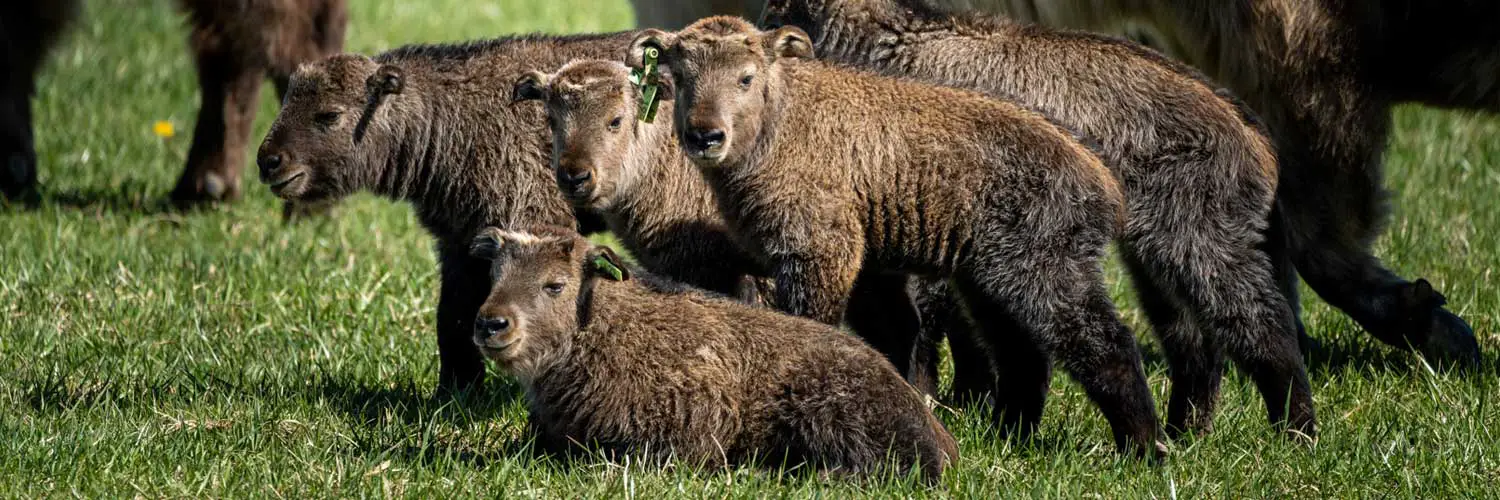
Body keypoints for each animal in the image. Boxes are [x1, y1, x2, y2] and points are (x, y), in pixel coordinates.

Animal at [252, 33, 639, 396]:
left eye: (330, 115)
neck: (453, 120)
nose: (268, 161)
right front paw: (455, 392)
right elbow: (451, 318)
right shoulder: (459, 241)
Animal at [630, 17, 1158, 456]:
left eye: (746, 77)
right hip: (989, 281)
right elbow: (896, 337)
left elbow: (819, 322)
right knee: (1022, 357)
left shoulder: (822, 250)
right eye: (680, 77)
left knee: (1107, 345)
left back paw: (1144, 448)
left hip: (1044, 271)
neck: (783, 122)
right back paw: (1010, 436)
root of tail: (1105, 186)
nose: (704, 136)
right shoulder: (870, 267)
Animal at [762, 0, 1314, 435]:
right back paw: (1185, 431)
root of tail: (1254, 131)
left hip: (1199, 238)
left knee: (1262, 324)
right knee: (1193, 343)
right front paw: (972, 406)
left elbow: (926, 327)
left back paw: (1294, 429)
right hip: (1153, 257)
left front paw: (933, 400)